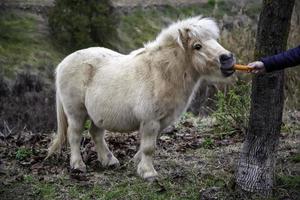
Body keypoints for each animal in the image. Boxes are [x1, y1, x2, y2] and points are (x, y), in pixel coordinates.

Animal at [47, 16, 234, 180]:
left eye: (215, 40)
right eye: (197, 46)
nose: (228, 59)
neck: (161, 73)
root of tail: (63, 63)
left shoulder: (162, 121)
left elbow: (148, 146)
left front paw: (137, 163)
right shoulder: (150, 121)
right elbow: (149, 147)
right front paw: (148, 173)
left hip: (97, 114)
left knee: (96, 133)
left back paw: (109, 161)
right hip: (76, 113)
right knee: (74, 135)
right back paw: (78, 165)